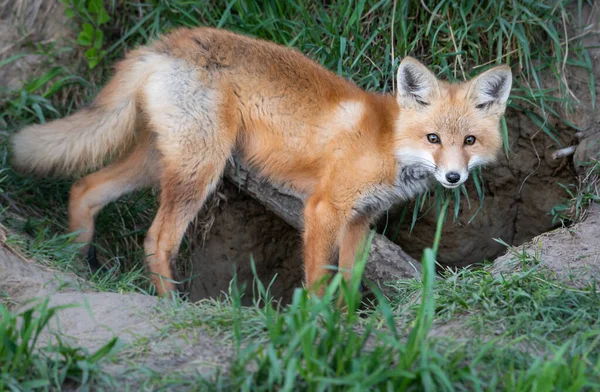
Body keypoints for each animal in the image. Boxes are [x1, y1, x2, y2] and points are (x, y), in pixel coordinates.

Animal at [10, 27, 510, 296]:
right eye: (432, 138)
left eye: (469, 140)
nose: (452, 177)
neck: (389, 144)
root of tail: (170, 40)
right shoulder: (323, 210)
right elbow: (318, 282)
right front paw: (316, 329)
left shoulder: (359, 222)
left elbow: (348, 288)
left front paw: (347, 329)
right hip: (201, 169)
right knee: (156, 239)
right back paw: (171, 303)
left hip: (158, 160)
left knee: (85, 189)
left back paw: (78, 264)